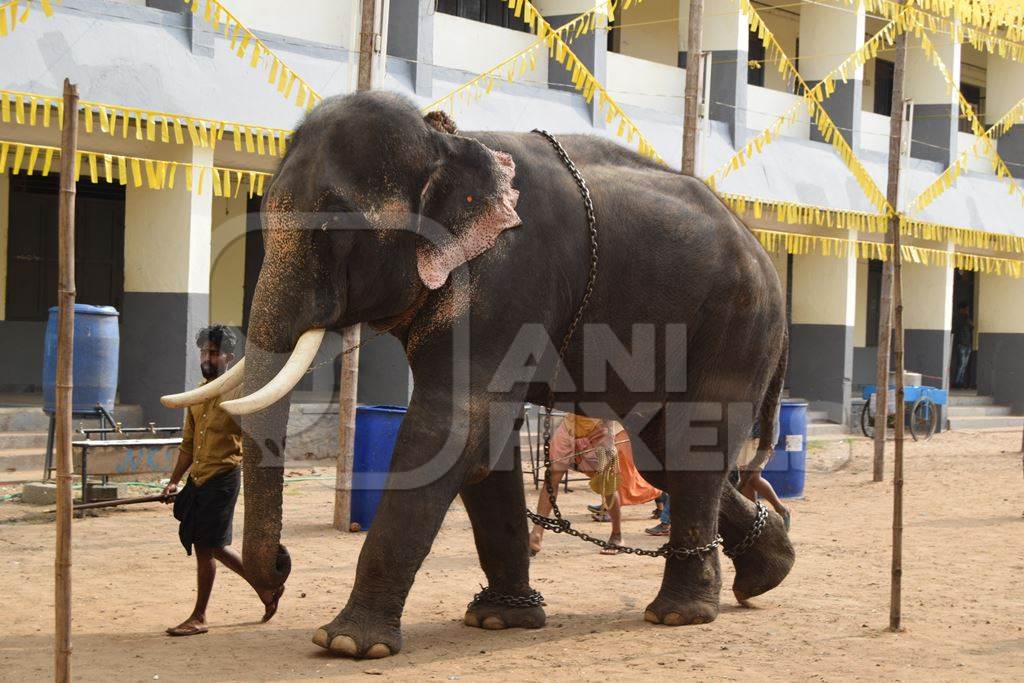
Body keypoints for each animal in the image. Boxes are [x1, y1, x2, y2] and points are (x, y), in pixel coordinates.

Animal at [163, 89, 794, 655]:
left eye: (335, 229)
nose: (281, 570)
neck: (447, 141)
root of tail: (763, 252)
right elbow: (484, 445)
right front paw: (499, 621)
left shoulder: (509, 279)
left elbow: (453, 430)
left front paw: (344, 643)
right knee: (666, 455)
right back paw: (770, 568)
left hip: (738, 323)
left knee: (692, 448)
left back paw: (679, 614)